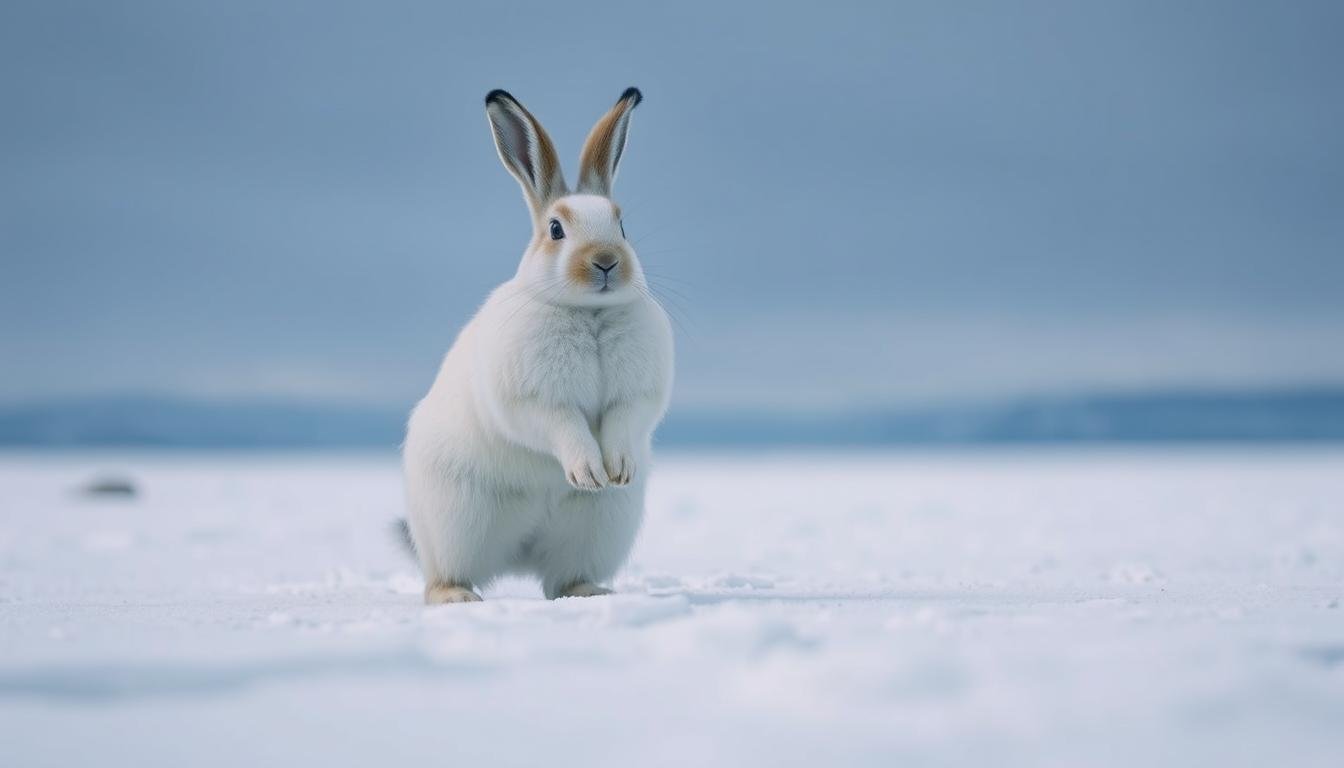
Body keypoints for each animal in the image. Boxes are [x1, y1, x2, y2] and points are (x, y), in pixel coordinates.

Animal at [402, 87, 673, 604]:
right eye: (556, 230)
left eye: (622, 226)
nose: (606, 261)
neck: (589, 314)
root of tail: (518, 554)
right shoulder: (534, 400)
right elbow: (562, 426)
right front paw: (589, 473)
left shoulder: (636, 396)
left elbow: (624, 421)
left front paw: (617, 470)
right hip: (454, 521)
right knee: (443, 573)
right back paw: (457, 597)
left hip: (598, 527)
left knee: (561, 578)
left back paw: (591, 591)